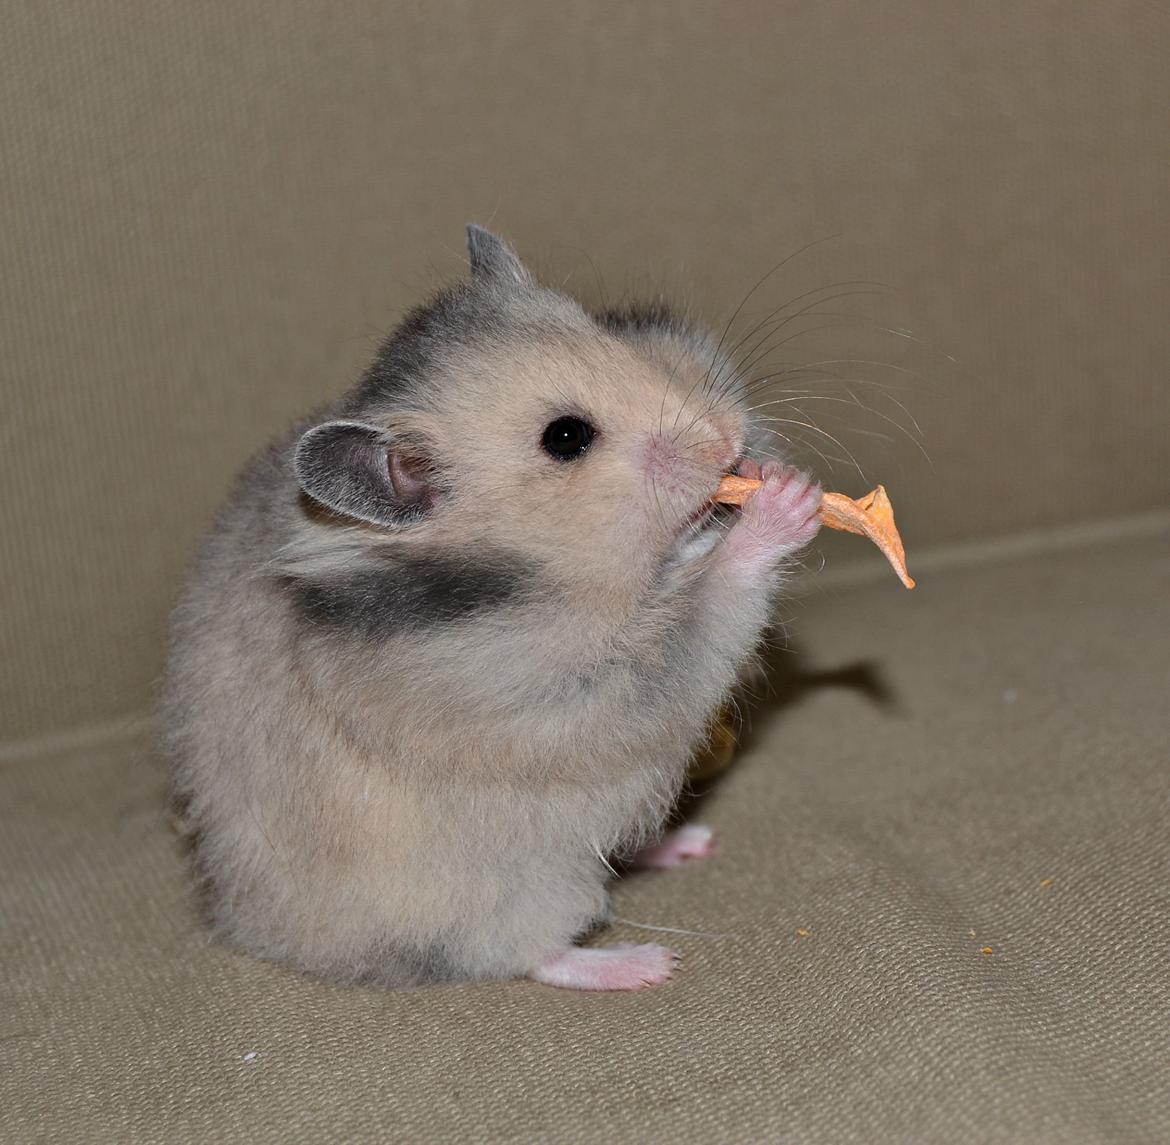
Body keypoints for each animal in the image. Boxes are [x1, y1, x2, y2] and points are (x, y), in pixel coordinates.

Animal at [162, 226, 822, 991]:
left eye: (607, 333)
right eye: (566, 437)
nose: (727, 438)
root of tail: (247, 926)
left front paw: (775, 471)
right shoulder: (555, 689)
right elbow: (703, 614)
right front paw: (786, 502)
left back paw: (688, 842)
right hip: (517, 887)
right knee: (530, 952)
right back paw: (643, 964)